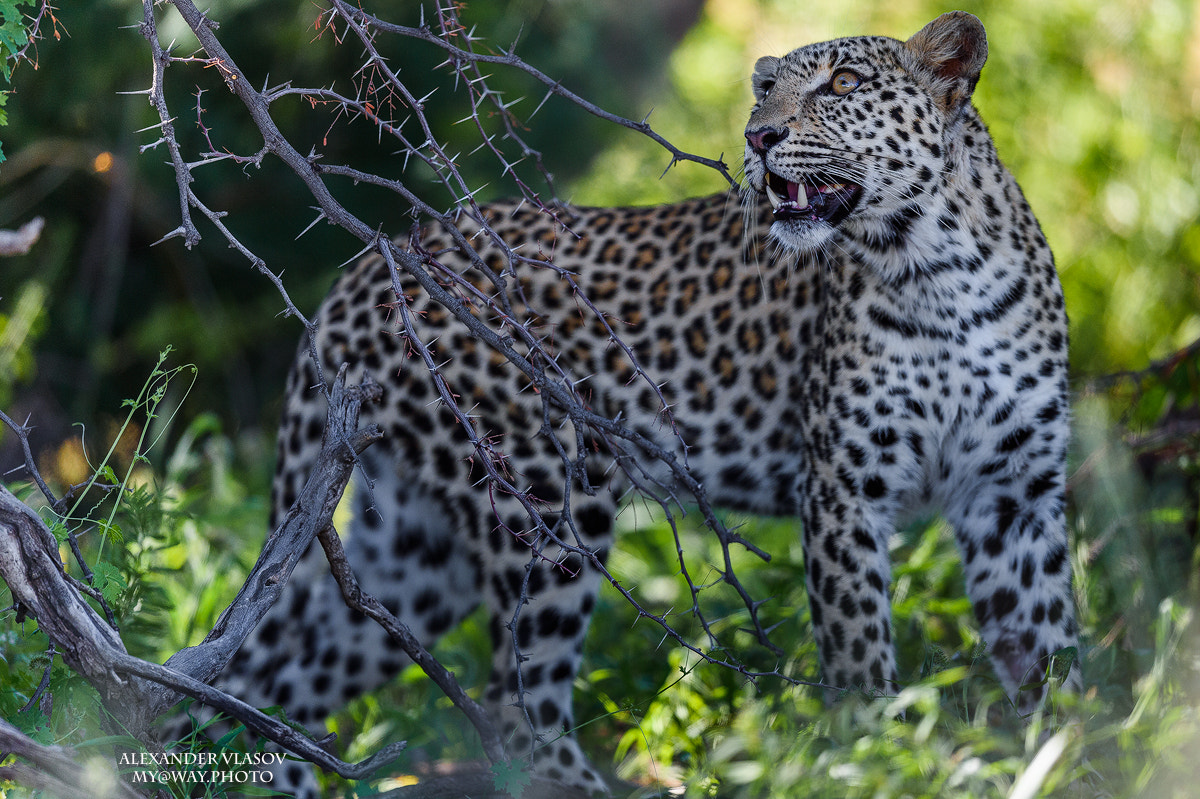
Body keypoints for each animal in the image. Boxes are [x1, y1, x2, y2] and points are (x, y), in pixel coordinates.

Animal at [207, 11, 1079, 796]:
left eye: (843, 84)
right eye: (767, 92)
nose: (759, 137)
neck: (938, 266)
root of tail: (368, 265)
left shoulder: (1016, 495)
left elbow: (1052, 650)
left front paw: (1072, 750)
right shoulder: (843, 490)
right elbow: (859, 650)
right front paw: (871, 764)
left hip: (415, 553)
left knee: (270, 679)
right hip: (548, 504)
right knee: (513, 705)